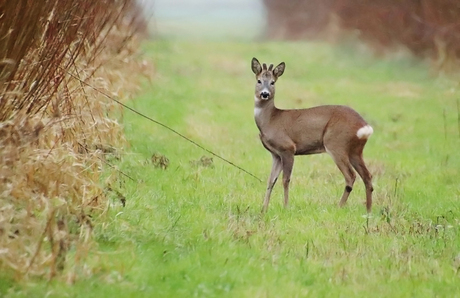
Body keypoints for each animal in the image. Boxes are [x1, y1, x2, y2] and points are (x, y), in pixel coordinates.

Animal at [252, 57, 374, 213]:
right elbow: (271, 180)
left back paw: (339, 206)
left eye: (273, 82)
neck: (270, 120)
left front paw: (286, 206)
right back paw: (368, 210)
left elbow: (286, 180)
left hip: (336, 144)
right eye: (259, 81)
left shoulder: (288, 148)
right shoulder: (276, 154)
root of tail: (364, 126)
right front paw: (263, 209)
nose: (265, 94)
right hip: (355, 150)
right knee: (367, 176)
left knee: (350, 176)